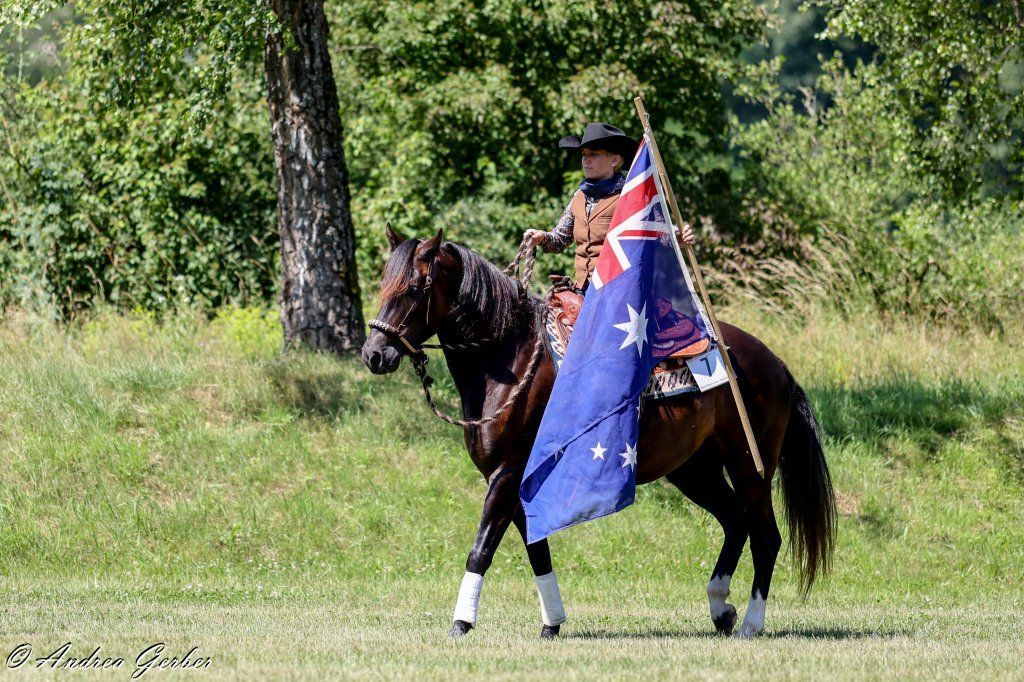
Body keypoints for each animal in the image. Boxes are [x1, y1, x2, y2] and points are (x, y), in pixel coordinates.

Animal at [360, 225, 836, 639]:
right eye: (385, 283)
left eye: (415, 287)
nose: (374, 354)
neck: (510, 359)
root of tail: (772, 361)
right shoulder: (517, 483)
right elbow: (537, 550)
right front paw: (552, 623)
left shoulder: (507, 475)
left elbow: (482, 548)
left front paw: (461, 623)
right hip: (693, 470)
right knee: (736, 521)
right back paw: (721, 609)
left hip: (750, 466)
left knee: (766, 537)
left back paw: (751, 623)